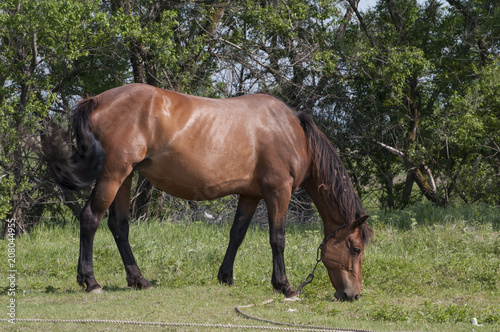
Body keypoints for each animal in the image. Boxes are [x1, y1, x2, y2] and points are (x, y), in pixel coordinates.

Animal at [46, 83, 372, 300]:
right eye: (355, 248)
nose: (352, 295)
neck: (291, 132)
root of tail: (97, 100)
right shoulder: (279, 191)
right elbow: (277, 239)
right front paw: (284, 286)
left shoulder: (251, 195)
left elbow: (237, 234)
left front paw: (225, 276)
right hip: (113, 175)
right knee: (90, 218)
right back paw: (91, 281)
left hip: (124, 177)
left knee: (119, 226)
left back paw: (139, 280)